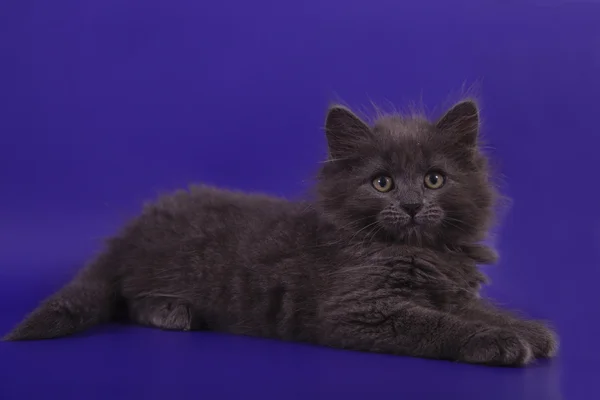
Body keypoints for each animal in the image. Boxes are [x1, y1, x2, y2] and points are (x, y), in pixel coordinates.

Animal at [3, 100, 556, 366]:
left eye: (434, 179)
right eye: (381, 182)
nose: (413, 205)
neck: (421, 252)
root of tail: (129, 230)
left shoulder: (453, 289)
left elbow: (478, 308)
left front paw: (529, 329)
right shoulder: (360, 309)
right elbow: (440, 324)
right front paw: (497, 341)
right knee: (129, 297)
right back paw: (173, 312)